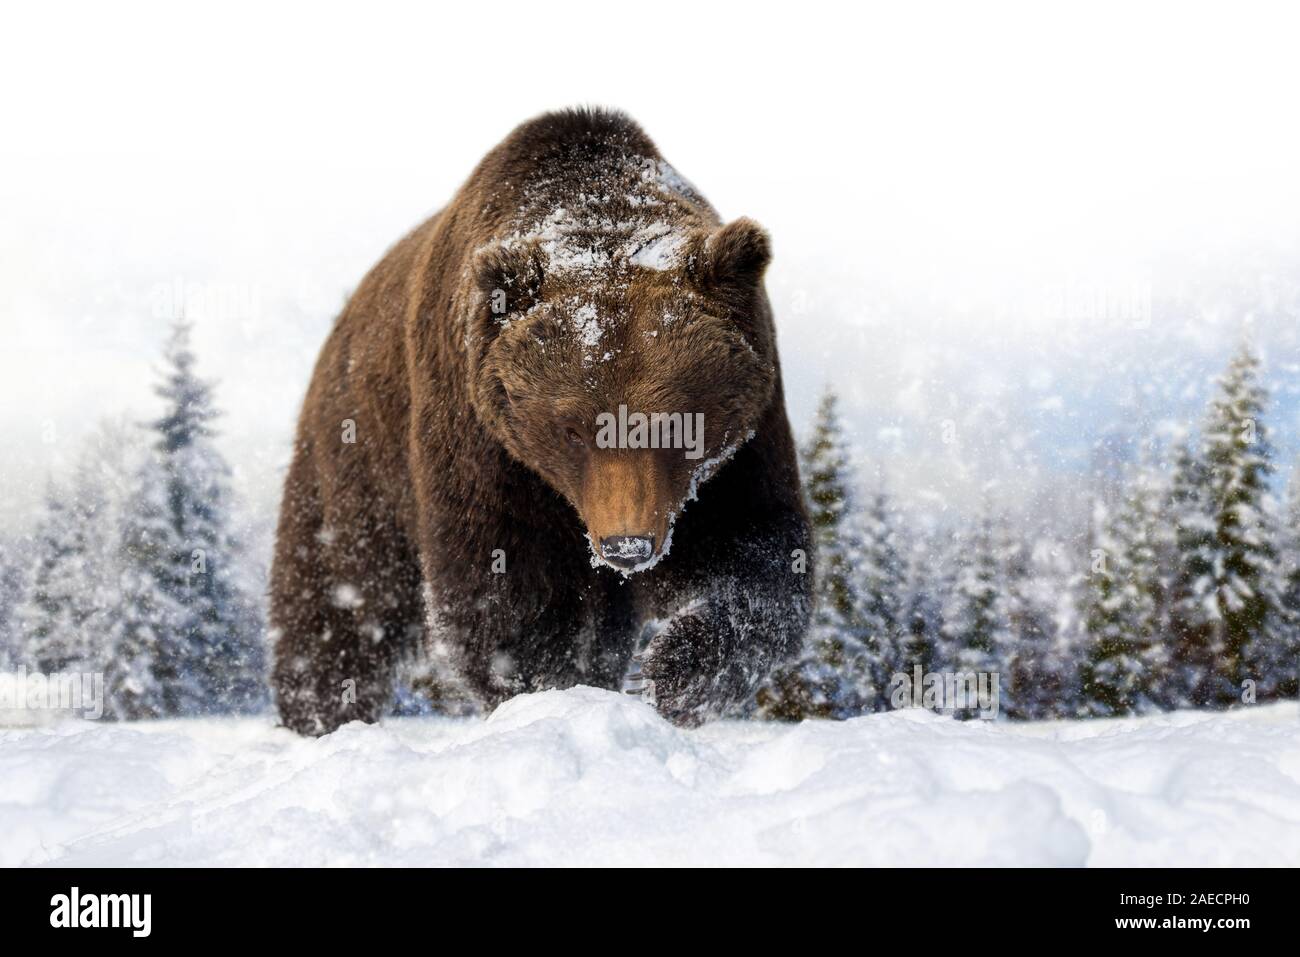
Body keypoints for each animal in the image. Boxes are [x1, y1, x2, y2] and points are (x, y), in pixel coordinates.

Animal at [269, 106, 806, 733]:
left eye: (677, 423)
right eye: (571, 428)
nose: (627, 544)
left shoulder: (738, 445)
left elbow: (754, 552)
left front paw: (675, 670)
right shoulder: (486, 440)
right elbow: (504, 583)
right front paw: (548, 690)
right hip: (359, 447)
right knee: (340, 586)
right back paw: (319, 708)